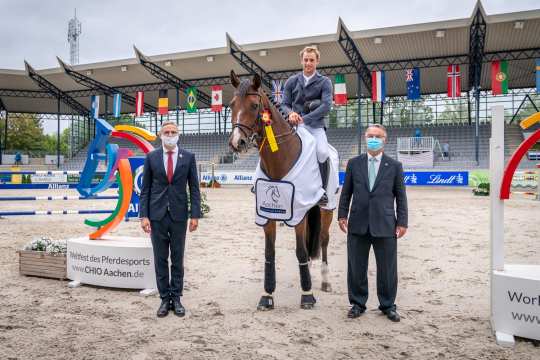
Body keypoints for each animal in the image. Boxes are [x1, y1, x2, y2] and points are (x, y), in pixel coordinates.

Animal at [227, 69, 334, 310]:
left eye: (254, 106)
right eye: (231, 104)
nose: (237, 143)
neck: (280, 158)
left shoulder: (298, 214)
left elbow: (300, 250)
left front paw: (307, 295)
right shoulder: (267, 214)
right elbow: (270, 252)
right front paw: (267, 295)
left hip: (327, 209)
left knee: (323, 239)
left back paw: (324, 281)